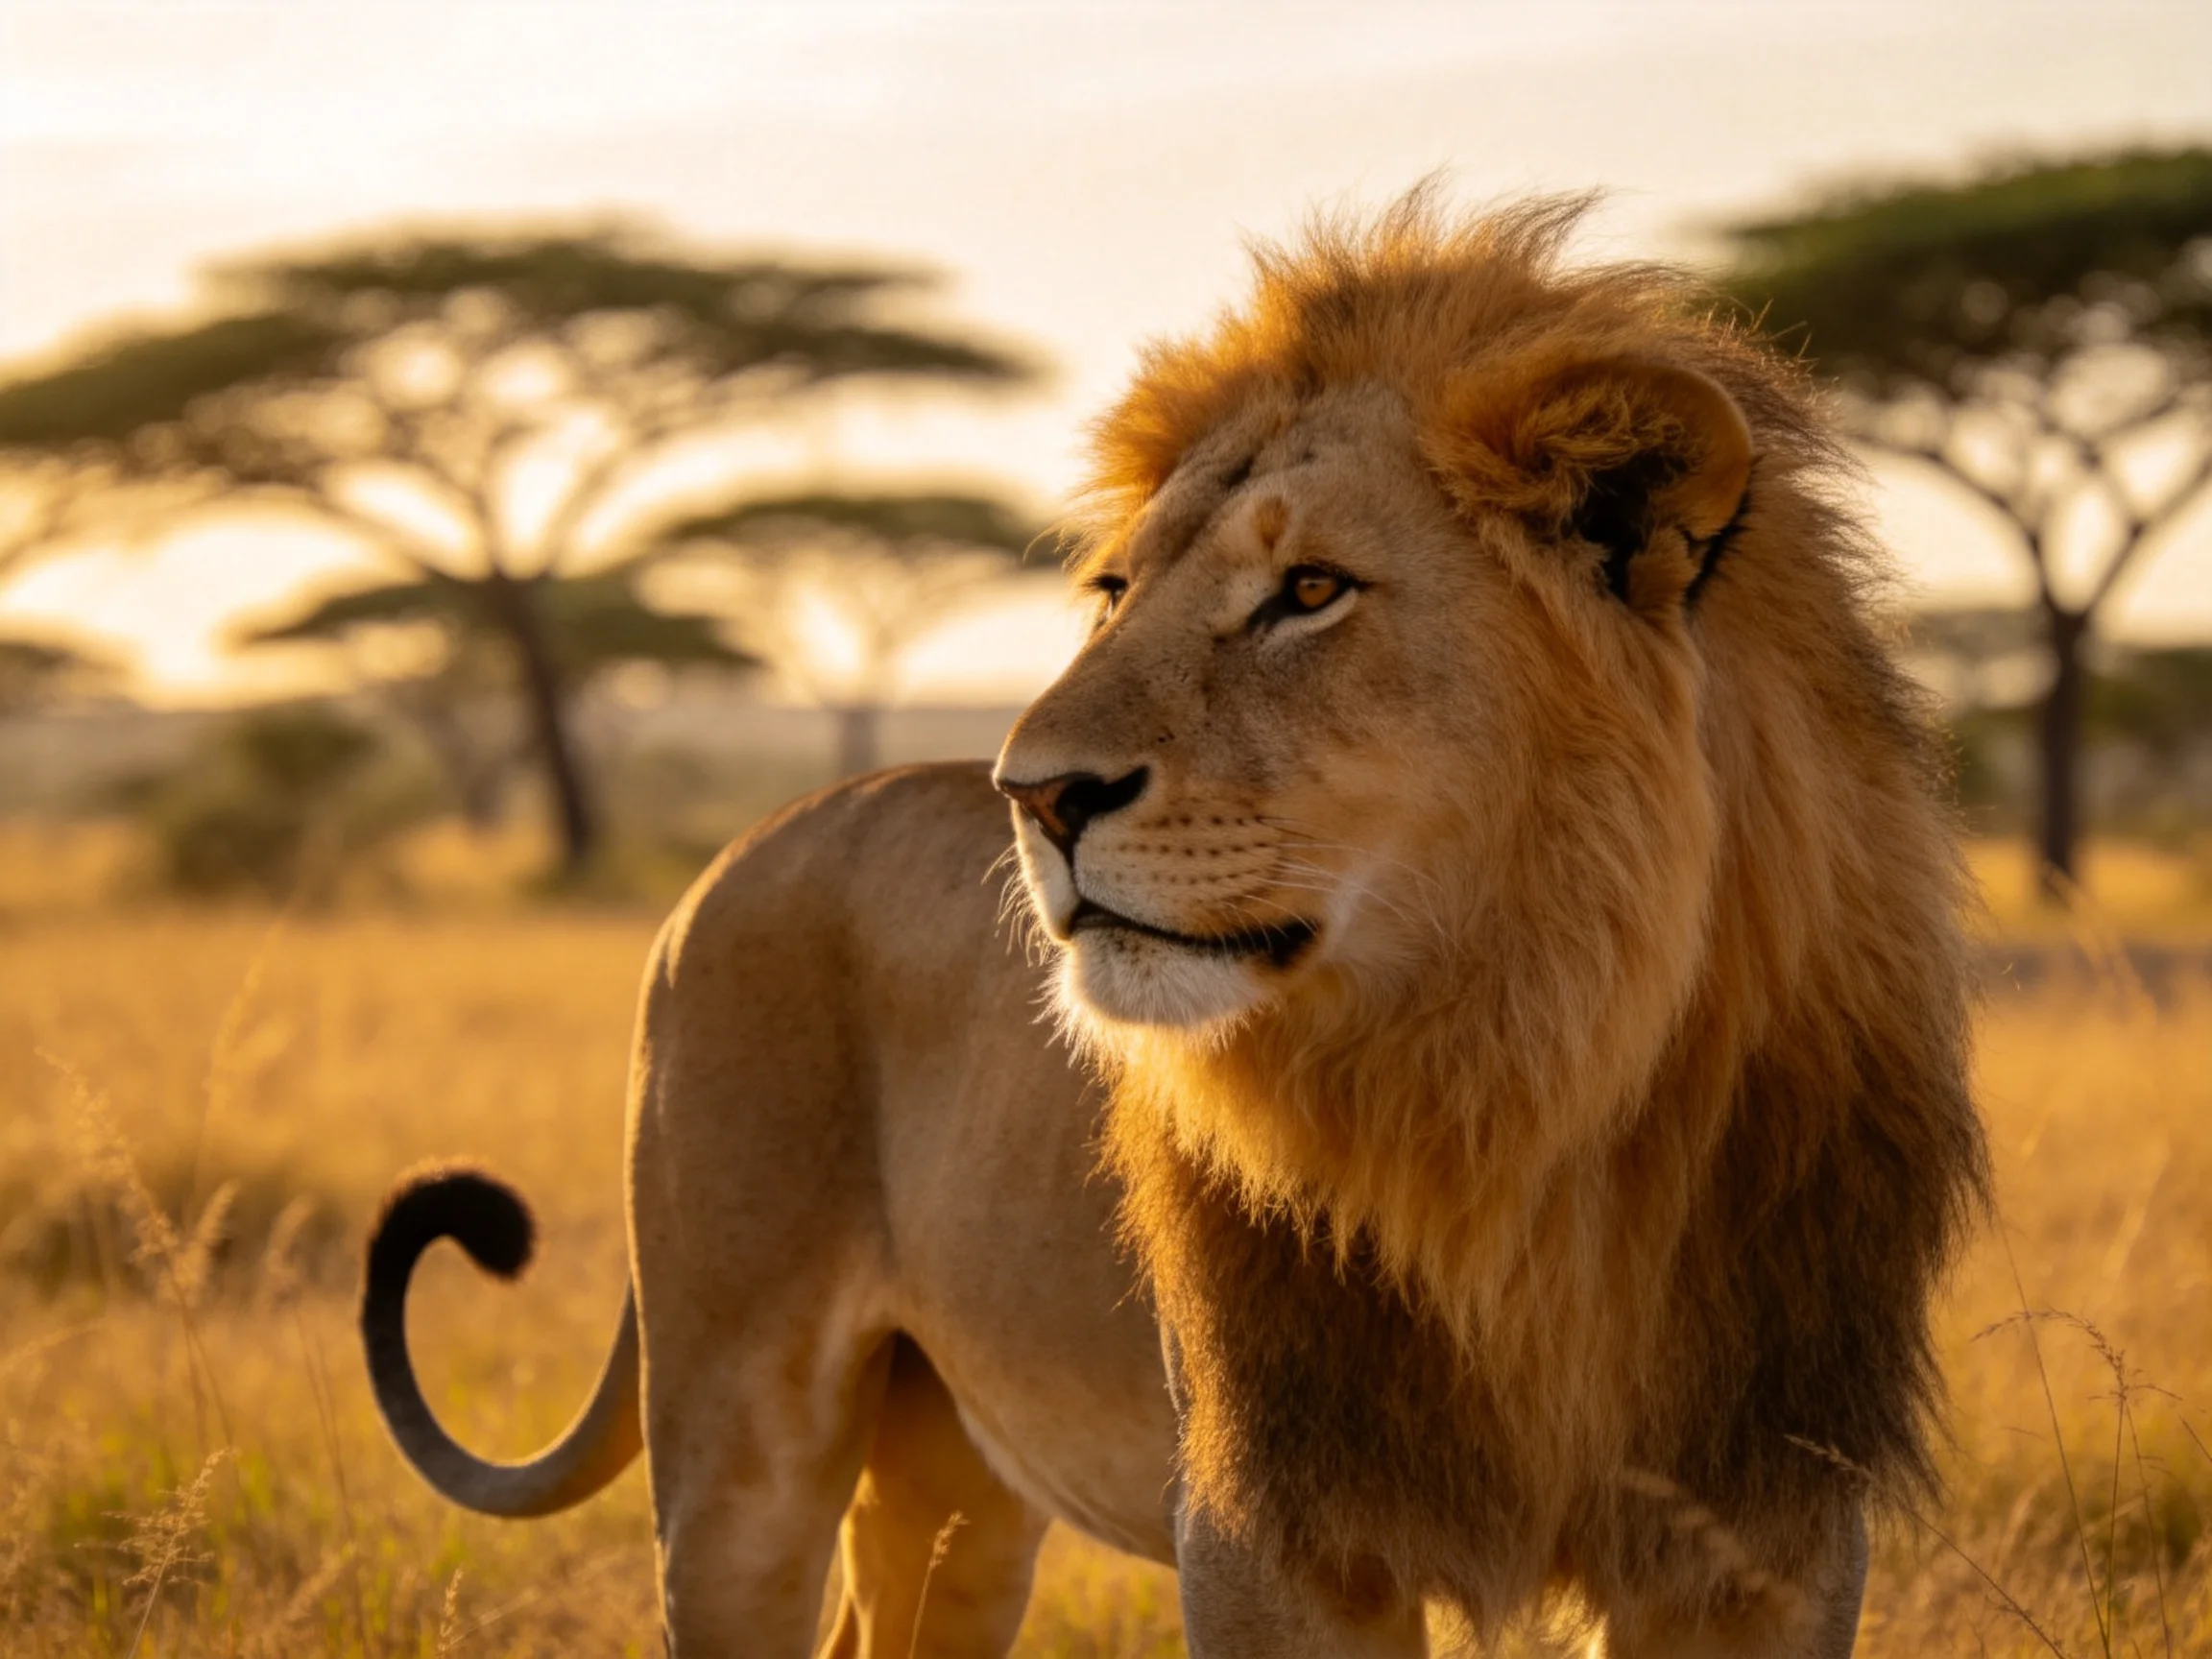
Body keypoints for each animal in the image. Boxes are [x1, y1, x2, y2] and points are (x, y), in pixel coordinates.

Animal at [362, 195, 1987, 1658]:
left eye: (1311, 588)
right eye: (1116, 590)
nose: (1036, 792)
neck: (1530, 1085)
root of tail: (745, 848)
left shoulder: (1768, 1528)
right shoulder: (1276, 1525)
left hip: (956, 1474)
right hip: (735, 1431)